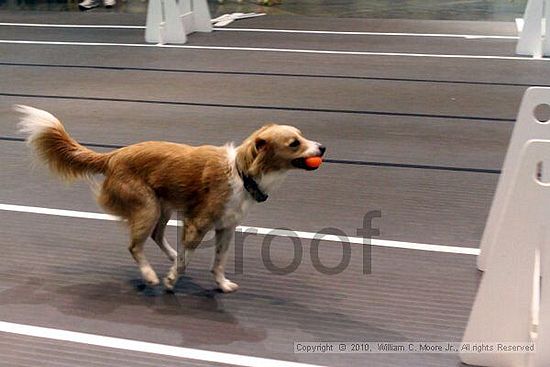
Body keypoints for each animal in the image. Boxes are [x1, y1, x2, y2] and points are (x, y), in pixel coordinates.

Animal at [16, 105, 328, 294]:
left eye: (302, 136)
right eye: (294, 143)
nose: (323, 147)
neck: (241, 173)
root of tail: (113, 156)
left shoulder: (226, 228)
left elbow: (219, 262)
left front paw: (221, 284)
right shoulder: (197, 224)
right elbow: (186, 261)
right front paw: (169, 280)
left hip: (162, 207)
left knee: (156, 236)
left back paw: (169, 256)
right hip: (148, 207)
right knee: (135, 246)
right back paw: (150, 274)